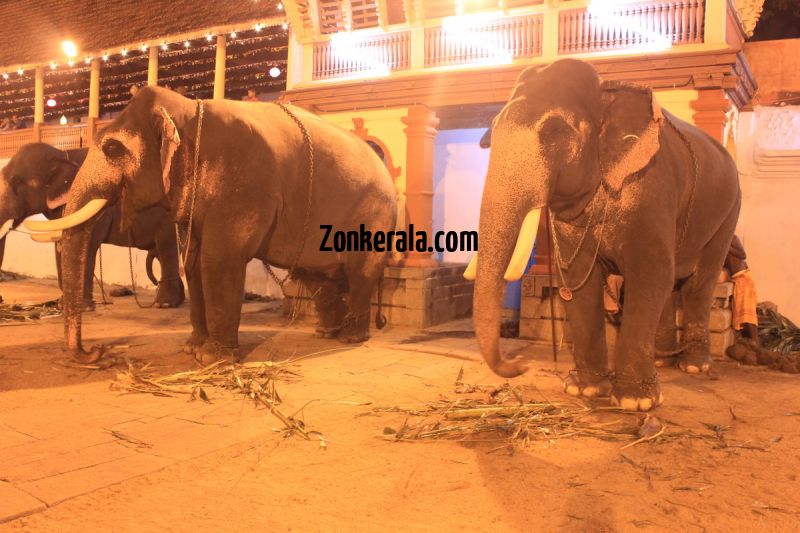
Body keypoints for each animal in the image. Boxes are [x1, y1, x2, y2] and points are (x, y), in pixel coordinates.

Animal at [0, 141, 184, 308]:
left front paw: (82, 307)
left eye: (17, 182)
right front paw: (63, 305)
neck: (62, 154)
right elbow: (61, 246)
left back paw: (165, 304)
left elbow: (85, 245)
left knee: (167, 248)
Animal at [27, 87, 396, 366]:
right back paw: (325, 333)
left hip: (373, 214)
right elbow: (193, 261)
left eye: (112, 148)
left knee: (360, 273)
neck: (189, 109)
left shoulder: (243, 183)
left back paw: (350, 338)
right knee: (317, 277)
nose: (98, 351)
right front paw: (192, 349)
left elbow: (218, 259)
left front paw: (211, 359)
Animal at [466, 60, 740, 412]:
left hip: (728, 212)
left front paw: (636, 402)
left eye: (554, 132)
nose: (521, 364)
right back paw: (662, 361)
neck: (605, 93)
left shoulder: (650, 188)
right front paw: (585, 390)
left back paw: (694, 367)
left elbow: (649, 275)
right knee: (671, 287)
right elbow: (576, 281)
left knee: (698, 284)